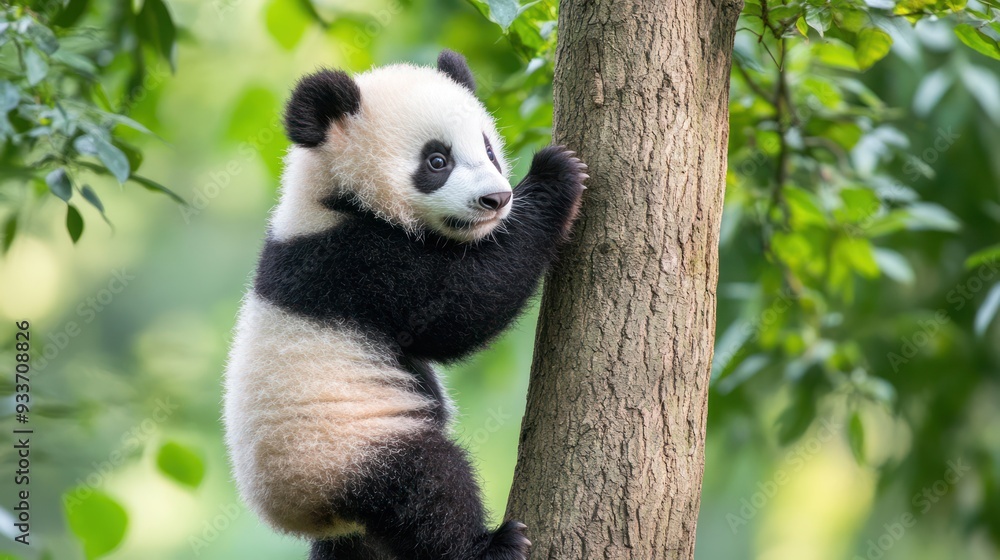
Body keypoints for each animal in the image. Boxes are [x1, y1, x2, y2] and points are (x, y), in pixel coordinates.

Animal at [223, 50, 587, 560]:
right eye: (437, 160)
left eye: (488, 150)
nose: (497, 199)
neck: (334, 195)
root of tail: (304, 517)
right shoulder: (355, 264)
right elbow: (461, 307)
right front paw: (557, 175)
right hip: (344, 452)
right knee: (426, 487)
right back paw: (489, 545)